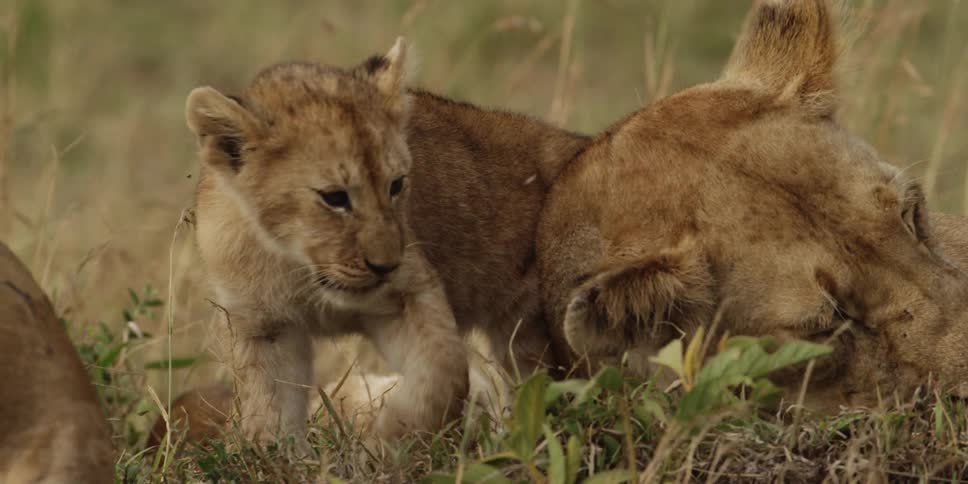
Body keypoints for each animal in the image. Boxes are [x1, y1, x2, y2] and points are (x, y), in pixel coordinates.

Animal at [184, 37, 588, 443]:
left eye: (396, 185)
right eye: (335, 197)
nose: (386, 265)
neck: (295, 263)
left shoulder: (409, 291)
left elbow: (443, 375)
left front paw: (386, 437)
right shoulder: (264, 326)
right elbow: (268, 413)